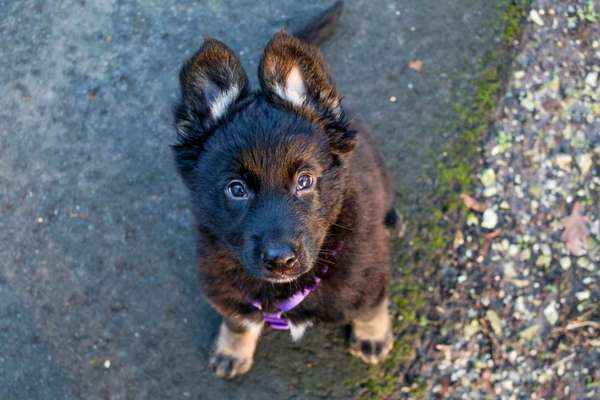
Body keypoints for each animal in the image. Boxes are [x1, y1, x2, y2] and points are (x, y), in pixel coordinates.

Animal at [172, 2, 398, 378]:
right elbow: (237, 320)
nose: (280, 261)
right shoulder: (225, 286)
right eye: (236, 189)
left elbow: (370, 308)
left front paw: (372, 336)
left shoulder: (369, 279)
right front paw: (232, 349)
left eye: (304, 181)